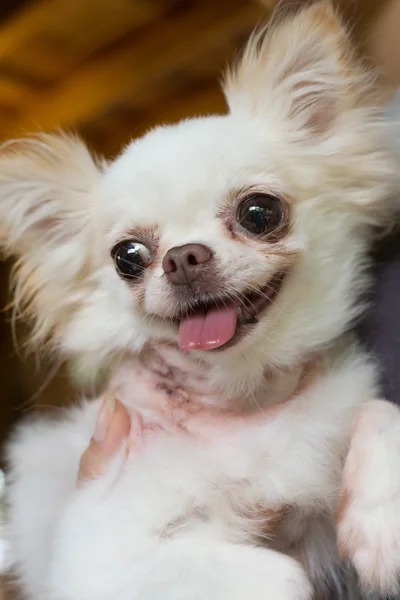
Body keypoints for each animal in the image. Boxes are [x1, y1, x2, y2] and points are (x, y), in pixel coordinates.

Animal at [0, 1, 400, 600]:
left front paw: (383, 524)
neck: (245, 399)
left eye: (260, 212)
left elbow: (378, 411)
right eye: (128, 256)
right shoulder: (100, 558)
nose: (183, 258)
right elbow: (282, 576)